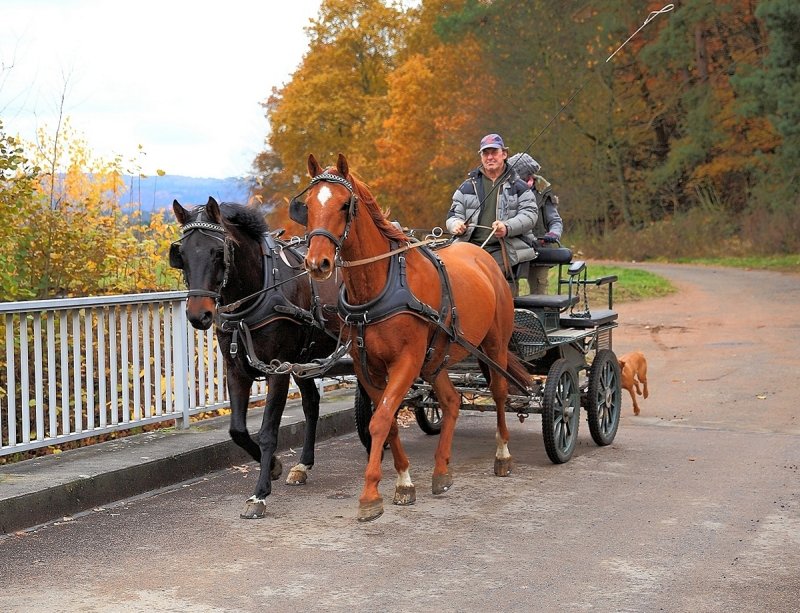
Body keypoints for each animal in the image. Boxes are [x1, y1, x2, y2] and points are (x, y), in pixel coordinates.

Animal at [170, 196, 342, 516]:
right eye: (181, 255)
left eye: (218, 252)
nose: (199, 315)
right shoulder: (236, 369)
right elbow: (237, 430)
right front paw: (273, 466)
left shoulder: (278, 369)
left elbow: (267, 432)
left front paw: (259, 493)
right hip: (303, 360)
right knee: (312, 403)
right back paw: (303, 465)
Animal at [296, 154, 528, 520]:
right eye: (307, 206)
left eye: (345, 204)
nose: (317, 263)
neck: (380, 283)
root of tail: (483, 256)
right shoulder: (367, 367)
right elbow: (388, 420)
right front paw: (404, 480)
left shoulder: (406, 361)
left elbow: (380, 421)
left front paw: (370, 494)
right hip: (436, 360)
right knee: (451, 401)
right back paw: (441, 470)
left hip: (494, 346)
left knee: (500, 392)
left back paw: (502, 454)